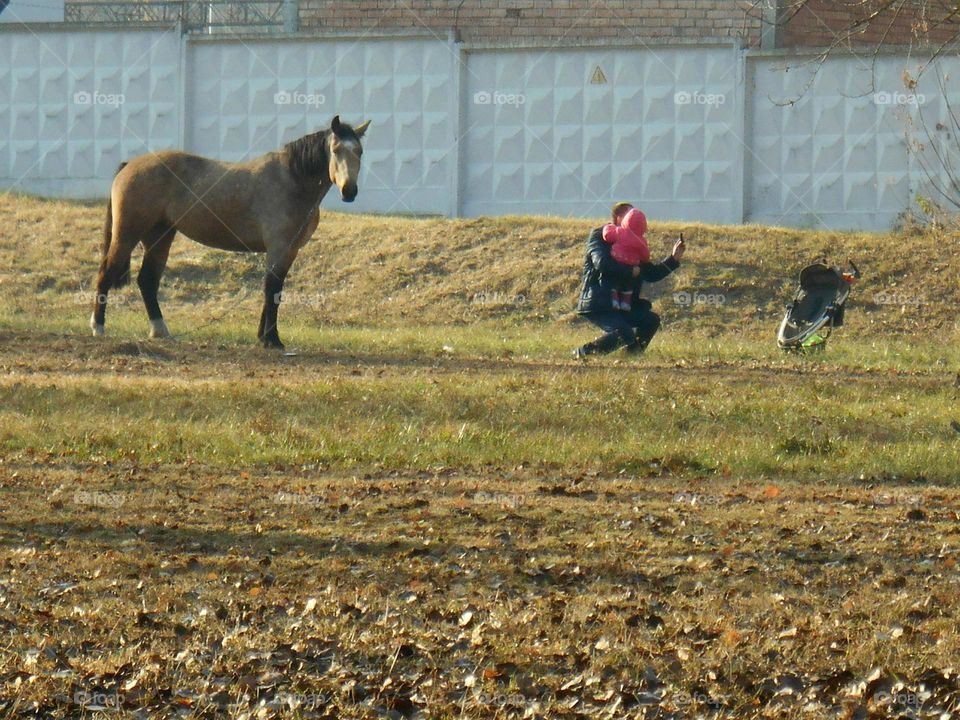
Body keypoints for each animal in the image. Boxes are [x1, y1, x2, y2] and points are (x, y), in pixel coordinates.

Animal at [92, 115, 372, 348]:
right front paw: (272, 339)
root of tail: (130, 165)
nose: (349, 191)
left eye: (359, 151)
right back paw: (98, 327)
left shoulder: (289, 250)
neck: (291, 181)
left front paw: (264, 337)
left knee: (148, 281)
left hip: (160, 236)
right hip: (127, 234)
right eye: (336, 150)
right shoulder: (278, 248)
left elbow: (274, 290)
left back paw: (160, 331)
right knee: (107, 273)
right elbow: (272, 288)